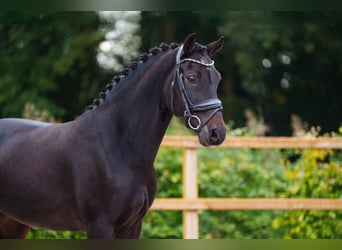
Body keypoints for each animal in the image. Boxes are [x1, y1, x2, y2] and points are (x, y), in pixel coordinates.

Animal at [0, 33, 226, 238]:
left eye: (218, 78)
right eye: (192, 77)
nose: (217, 133)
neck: (118, 146)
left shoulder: (132, 227)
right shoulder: (100, 226)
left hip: (14, 223)